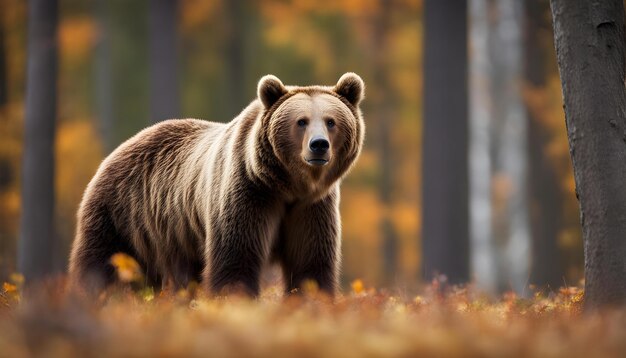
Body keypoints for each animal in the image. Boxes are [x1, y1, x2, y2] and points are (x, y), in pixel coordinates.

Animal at [69, 72, 366, 296]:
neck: (288, 185)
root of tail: (119, 148)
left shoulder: (310, 208)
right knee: (102, 263)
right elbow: (236, 258)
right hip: (122, 215)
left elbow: (309, 261)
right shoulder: (248, 192)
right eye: (301, 121)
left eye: (331, 121)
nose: (319, 145)